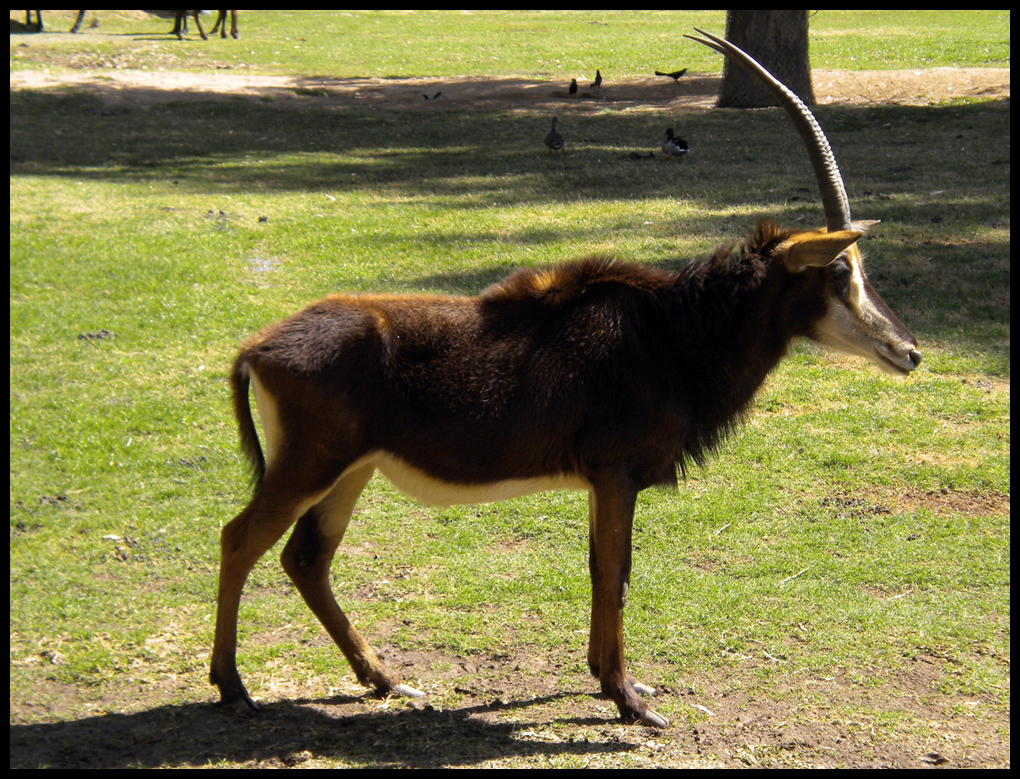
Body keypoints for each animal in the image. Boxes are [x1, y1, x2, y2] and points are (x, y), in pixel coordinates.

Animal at [211, 27, 922, 725]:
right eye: (840, 270)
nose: (910, 351)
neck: (670, 332)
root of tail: (256, 348)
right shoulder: (617, 474)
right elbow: (614, 572)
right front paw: (629, 699)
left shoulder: (601, 482)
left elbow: (601, 567)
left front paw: (607, 680)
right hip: (309, 465)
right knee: (240, 539)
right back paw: (234, 687)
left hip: (350, 471)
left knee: (307, 558)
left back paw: (385, 680)